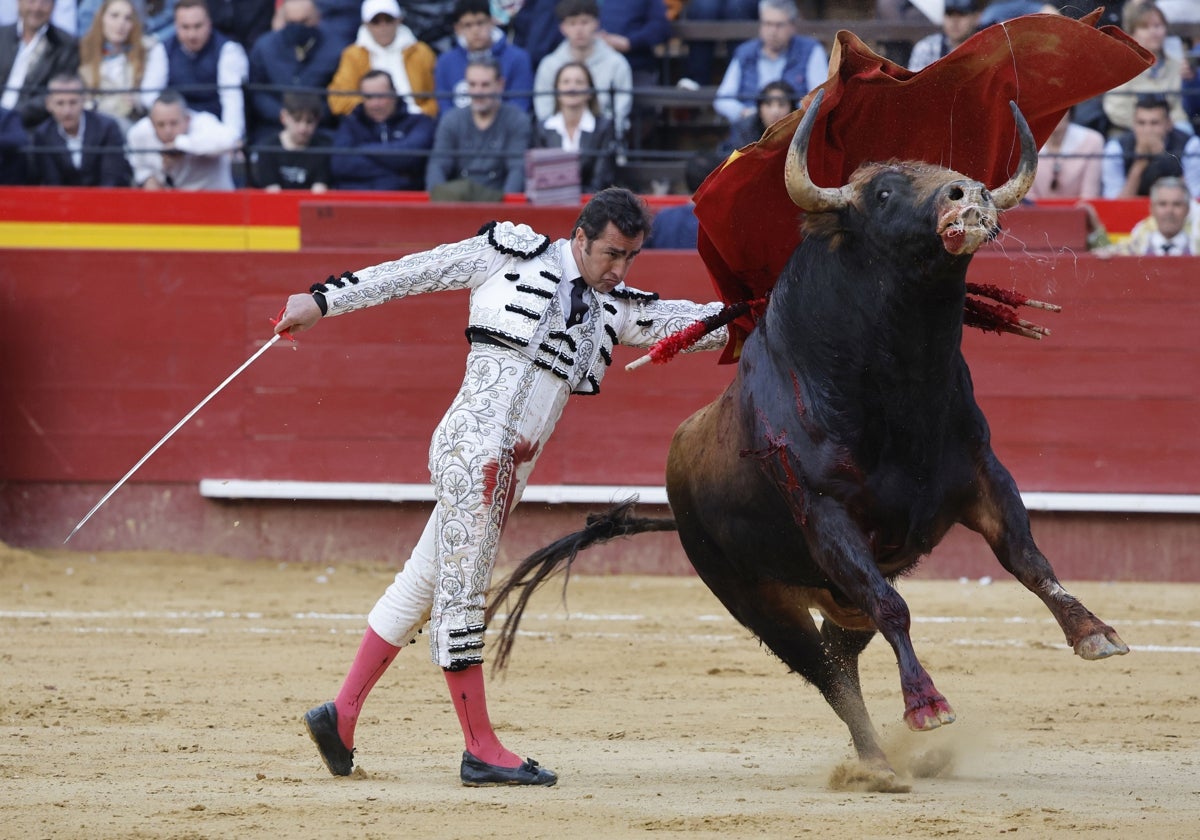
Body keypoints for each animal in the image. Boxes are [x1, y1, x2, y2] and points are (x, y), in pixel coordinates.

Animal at [484, 91, 1123, 787]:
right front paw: (928, 706)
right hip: (754, 597)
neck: (900, 389)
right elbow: (896, 607)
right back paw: (876, 764)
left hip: (835, 595)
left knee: (844, 655)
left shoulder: (983, 476)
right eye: (884, 192)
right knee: (829, 672)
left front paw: (1093, 632)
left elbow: (1030, 559)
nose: (969, 193)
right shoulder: (824, 513)